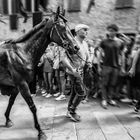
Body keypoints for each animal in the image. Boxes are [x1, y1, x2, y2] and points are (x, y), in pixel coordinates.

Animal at [0, 7, 79, 140]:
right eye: (62, 27)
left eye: (69, 28)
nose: (76, 47)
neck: (23, 52)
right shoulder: (22, 84)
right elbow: (32, 107)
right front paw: (40, 132)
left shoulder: (17, 86)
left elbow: (11, 102)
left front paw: (7, 119)